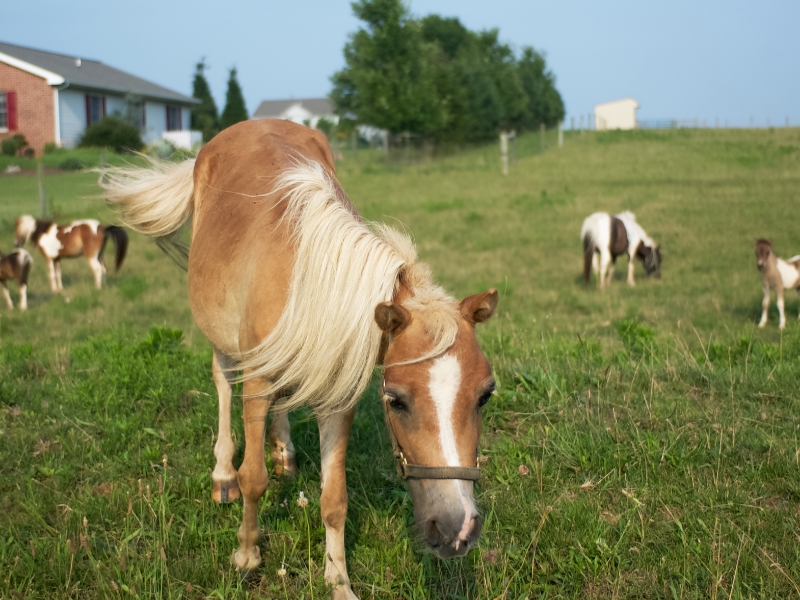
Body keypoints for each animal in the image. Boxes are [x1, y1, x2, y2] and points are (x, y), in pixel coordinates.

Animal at [101, 119, 500, 596]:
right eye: (396, 401)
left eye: (485, 395)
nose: (459, 529)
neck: (310, 278)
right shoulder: (256, 381)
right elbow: (253, 478)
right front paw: (247, 554)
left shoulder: (338, 394)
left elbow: (334, 498)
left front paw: (339, 582)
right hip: (221, 338)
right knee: (222, 384)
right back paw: (222, 474)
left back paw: (285, 452)